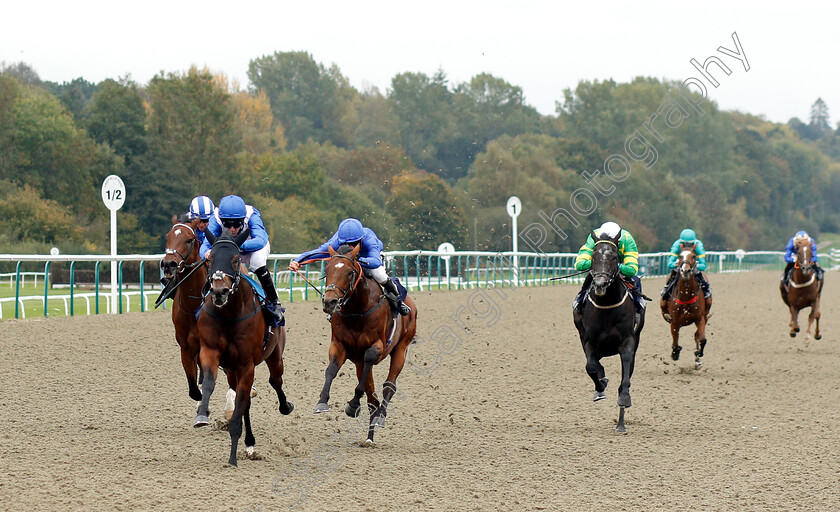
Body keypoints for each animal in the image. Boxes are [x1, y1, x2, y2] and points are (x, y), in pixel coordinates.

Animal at [160, 218, 208, 402]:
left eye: (189, 240)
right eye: (167, 237)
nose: (168, 264)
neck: (193, 306)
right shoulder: (187, 349)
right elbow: (195, 391)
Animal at [195, 230, 294, 466]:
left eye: (235, 259)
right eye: (209, 259)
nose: (219, 291)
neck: (229, 314)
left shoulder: (246, 364)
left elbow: (242, 401)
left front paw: (232, 457)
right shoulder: (211, 353)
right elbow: (210, 383)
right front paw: (202, 415)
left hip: (274, 356)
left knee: (275, 381)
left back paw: (284, 407)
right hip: (232, 371)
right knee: (245, 400)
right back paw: (249, 443)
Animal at [314, 243, 418, 444]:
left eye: (349, 272)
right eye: (327, 270)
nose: (329, 301)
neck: (356, 311)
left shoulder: (376, 347)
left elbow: (369, 361)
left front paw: (353, 405)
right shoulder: (339, 345)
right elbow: (331, 370)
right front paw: (322, 402)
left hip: (401, 347)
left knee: (389, 386)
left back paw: (380, 417)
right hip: (359, 363)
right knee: (372, 399)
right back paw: (369, 437)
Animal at [576, 230, 648, 434]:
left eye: (615, 256)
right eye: (593, 255)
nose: (600, 284)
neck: (607, 306)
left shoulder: (628, 342)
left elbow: (624, 381)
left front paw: (624, 400)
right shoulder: (589, 340)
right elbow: (591, 367)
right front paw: (600, 387)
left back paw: (621, 423)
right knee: (595, 364)